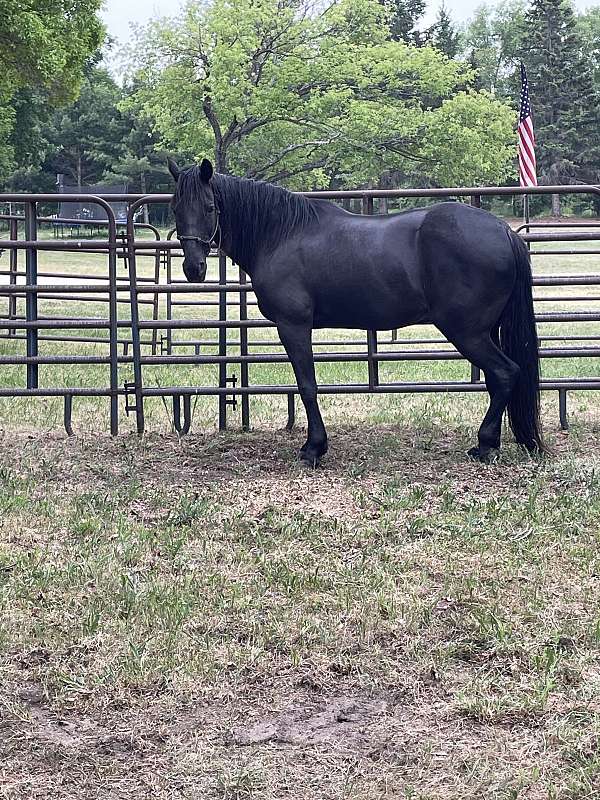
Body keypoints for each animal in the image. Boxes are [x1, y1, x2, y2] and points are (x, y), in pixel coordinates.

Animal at [167, 157, 544, 465]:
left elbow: (307, 385)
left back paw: (485, 444)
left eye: (209, 207)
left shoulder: (293, 326)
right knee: (498, 379)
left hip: (467, 332)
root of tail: (503, 230)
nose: (193, 268)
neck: (279, 235)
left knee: (505, 373)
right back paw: (489, 444)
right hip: (484, 331)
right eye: (175, 208)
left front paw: (314, 448)